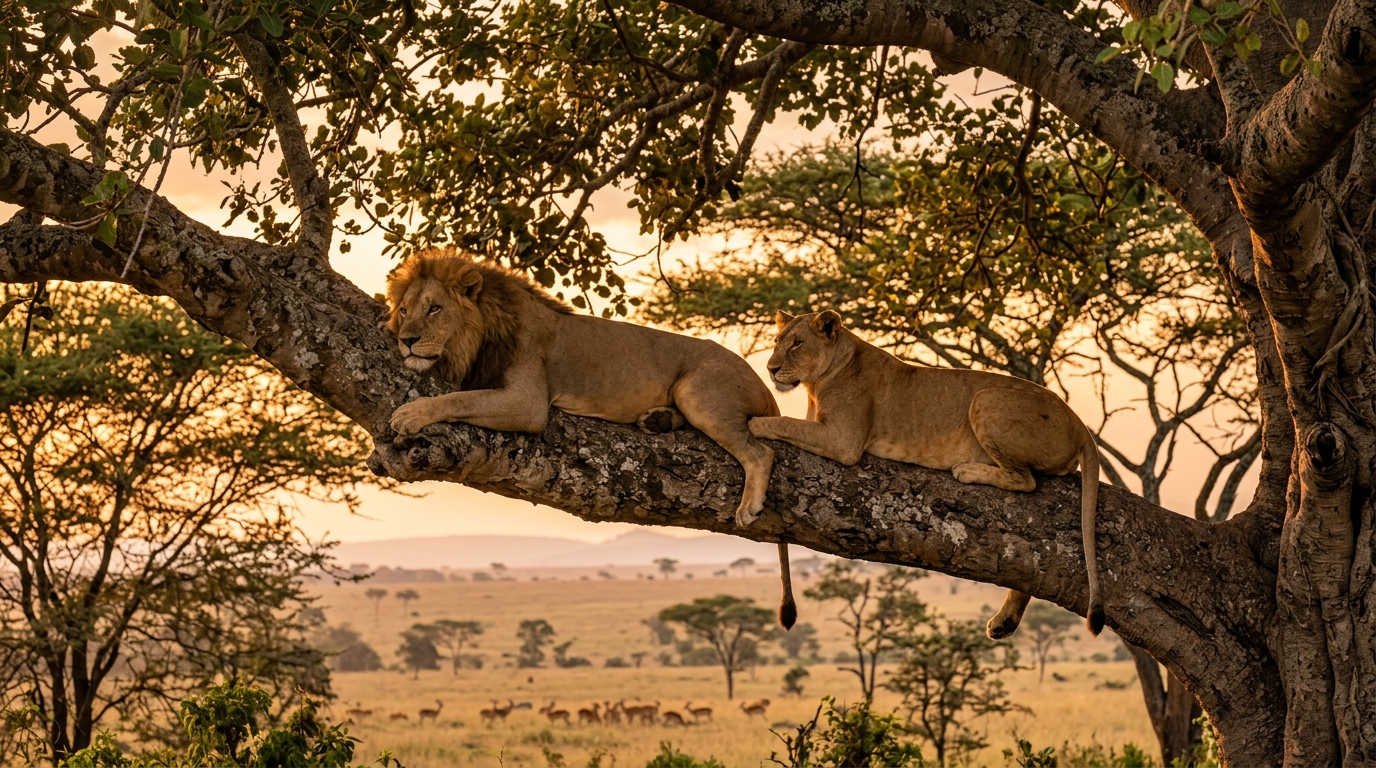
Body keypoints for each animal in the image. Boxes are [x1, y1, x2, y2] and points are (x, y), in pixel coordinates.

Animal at [384, 249, 798, 626]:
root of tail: (764, 382)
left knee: (760, 453)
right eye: (404, 310)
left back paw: (748, 506)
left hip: (697, 390)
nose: (407, 340)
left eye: (434, 309)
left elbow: (457, 398)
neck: (480, 334)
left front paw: (410, 413)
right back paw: (657, 420)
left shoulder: (528, 402)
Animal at [749, 310, 1104, 639]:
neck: (816, 384)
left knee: (1026, 480)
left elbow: (786, 422)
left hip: (986, 398)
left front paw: (755, 422)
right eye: (777, 341)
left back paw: (966, 471)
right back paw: (1004, 622)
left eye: (797, 343)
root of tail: (1078, 423)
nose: (770, 369)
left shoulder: (843, 440)